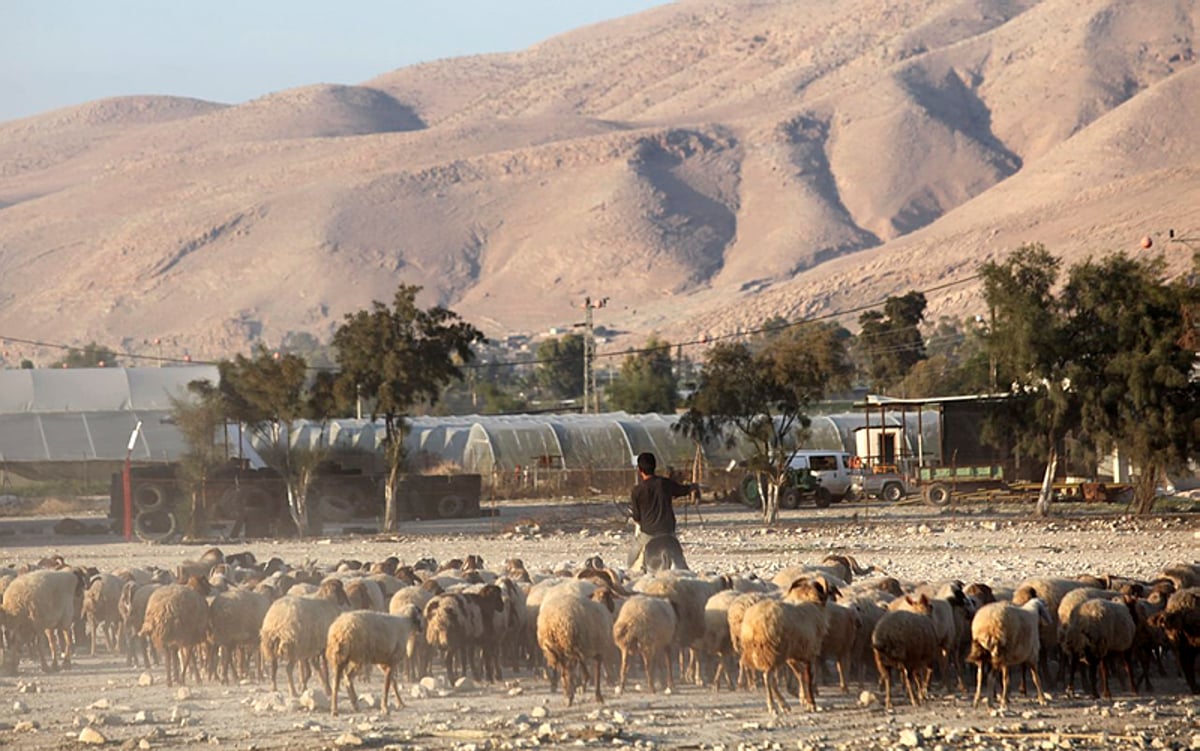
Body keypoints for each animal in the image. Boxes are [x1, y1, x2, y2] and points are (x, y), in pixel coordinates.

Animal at [734, 575, 830, 710]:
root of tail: (754, 624)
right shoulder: (808, 652)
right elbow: (808, 676)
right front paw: (811, 703)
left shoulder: (792, 655)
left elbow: (800, 674)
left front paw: (803, 698)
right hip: (772, 651)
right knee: (767, 677)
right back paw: (773, 706)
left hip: (762, 652)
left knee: (766, 676)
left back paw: (782, 704)